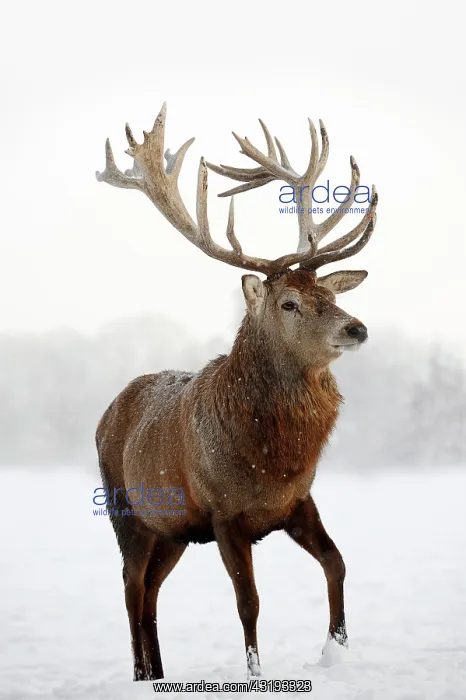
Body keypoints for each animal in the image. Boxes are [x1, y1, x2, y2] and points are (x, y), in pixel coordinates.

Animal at [95, 103, 378, 682]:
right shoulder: (224, 514)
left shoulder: (297, 501)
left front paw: (336, 648)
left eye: (328, 293)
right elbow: (249, 602)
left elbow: (337, 562)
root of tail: (103, 415)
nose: (356, 328)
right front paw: (255, 673)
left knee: (151, 591)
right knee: (131, 586)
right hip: (126, 511)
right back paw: (140, 673)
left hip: (172, 531)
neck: (273, 459)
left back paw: (160, 671)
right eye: (289, 302)